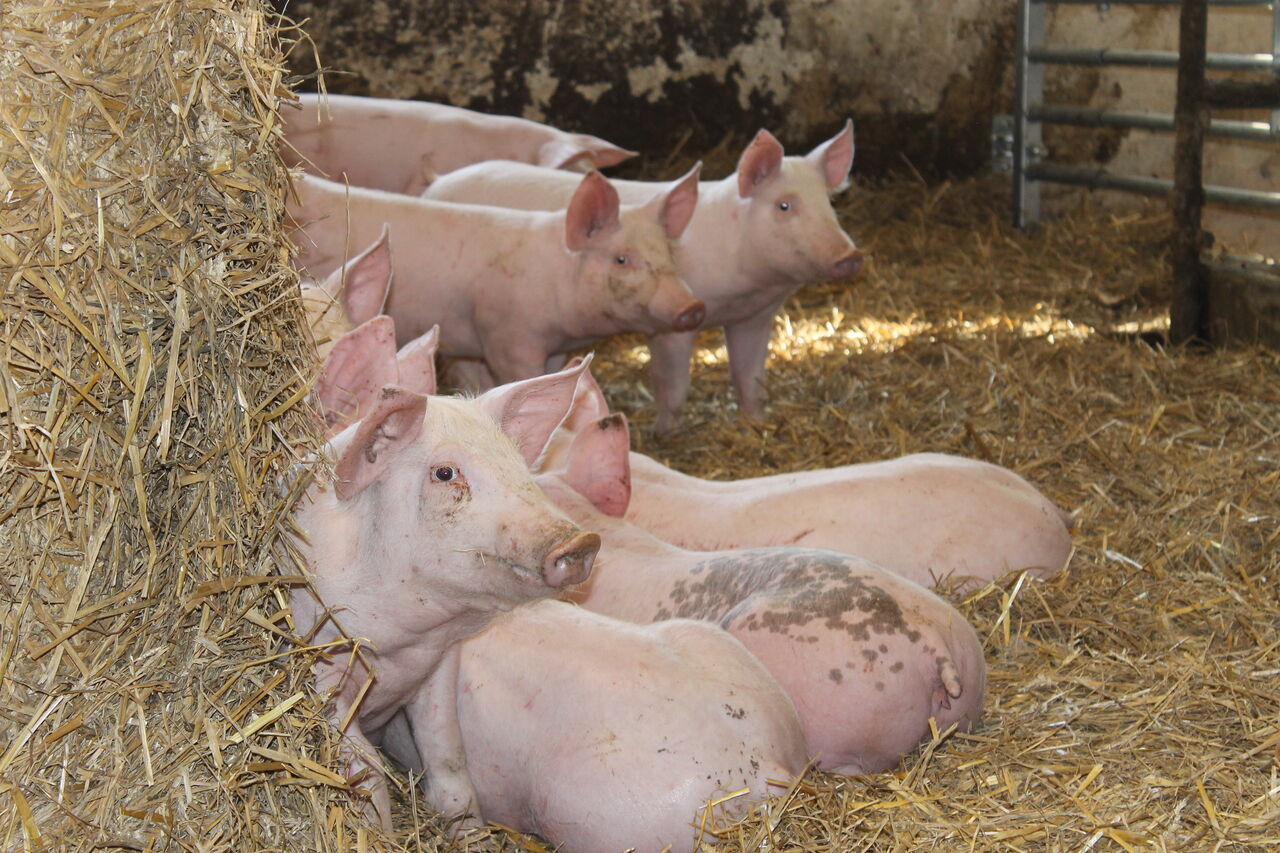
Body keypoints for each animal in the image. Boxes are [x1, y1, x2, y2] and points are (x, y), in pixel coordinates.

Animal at [288, 361, 602, 830]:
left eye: (517, 465)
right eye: (445, 473)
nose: (581, 541)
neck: (400, 645)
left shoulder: (440, 666)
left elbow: (450, 762)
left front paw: (468, 831)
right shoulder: (320, 664)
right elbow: (366, 772)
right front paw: (380, 831)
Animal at [423, 121, 864, 433]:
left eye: (830, 202)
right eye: (784, 205)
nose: (851, 256)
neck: (747, 284)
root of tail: (437, 184)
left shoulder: (754, 317)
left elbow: (751, 378)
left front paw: (757, 424)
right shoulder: (671, 325)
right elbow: (674, 384)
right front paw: (663, 433)